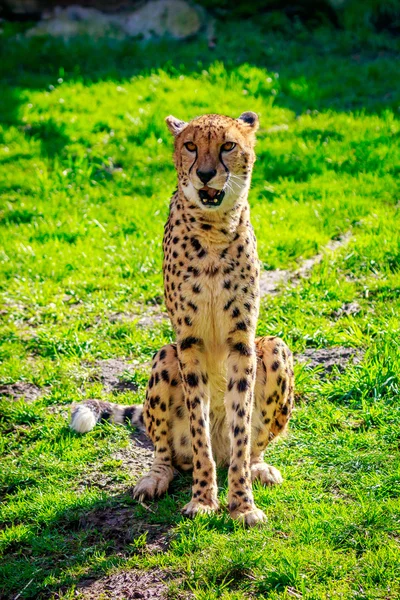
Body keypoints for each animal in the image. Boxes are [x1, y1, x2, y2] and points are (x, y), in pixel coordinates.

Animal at [71, 111, 294, 524]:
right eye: (190, 146)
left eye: (228, 145)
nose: (205, 174)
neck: (215, 229)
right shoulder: (188, 344)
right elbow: (199, 430)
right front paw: (204, 500)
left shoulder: (242, 343)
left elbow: (241, 433)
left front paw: (242, 504)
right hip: (165, 356)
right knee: (168, 454)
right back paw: (154, 479)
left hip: (273, 347)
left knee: (250, 446)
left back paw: (258, 467)